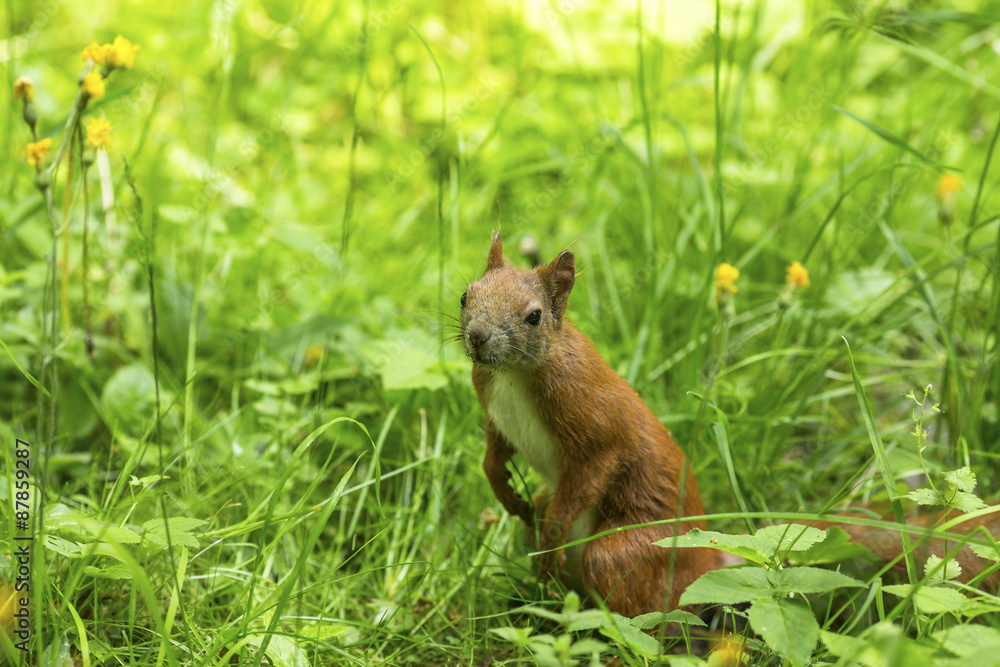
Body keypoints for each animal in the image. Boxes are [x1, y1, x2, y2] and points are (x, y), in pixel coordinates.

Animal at [460, 232, 1000, 617]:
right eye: (467, 295)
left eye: (533, 316)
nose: (477, 337)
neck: (514, 375)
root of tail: (708, 561)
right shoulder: (495, 412)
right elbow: (494, 452)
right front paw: (504, 493)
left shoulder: (591, 423)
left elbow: (591, 472)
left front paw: (550, 538)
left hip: (625, 554)